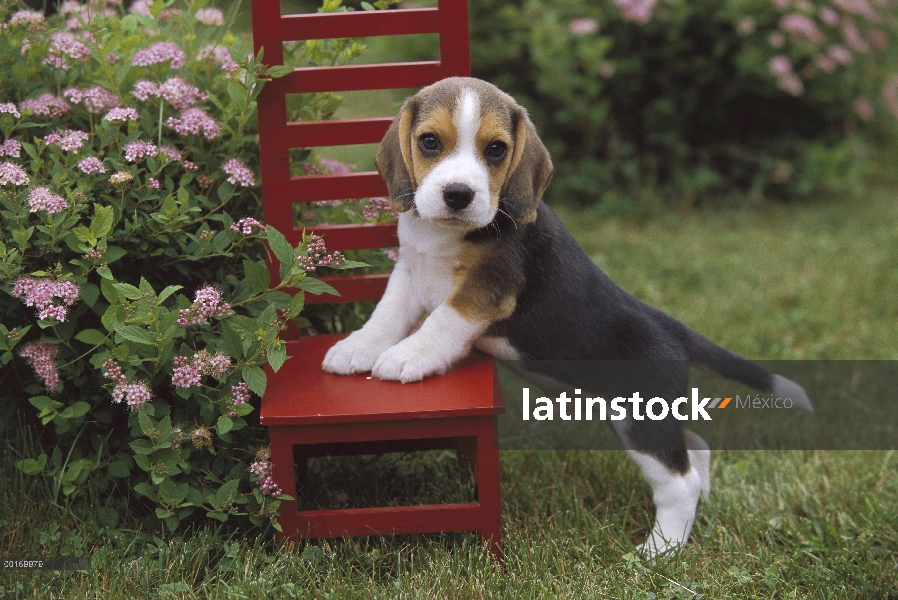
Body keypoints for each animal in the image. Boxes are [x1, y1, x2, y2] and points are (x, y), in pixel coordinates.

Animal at [318, 77, 808, 556]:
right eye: (429, 142)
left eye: (495, 149)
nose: (458, 195)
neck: (443, 234)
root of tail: (670, 327)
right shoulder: (409, 272)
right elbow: (386, 316)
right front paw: (357, 348)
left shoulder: (486, 290)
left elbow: (442, 322)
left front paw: (408, 357)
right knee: (695, 447)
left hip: (640, 418)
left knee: (678, 481)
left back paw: (660, 549)